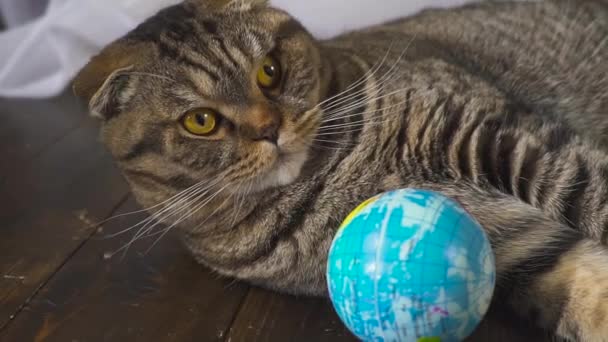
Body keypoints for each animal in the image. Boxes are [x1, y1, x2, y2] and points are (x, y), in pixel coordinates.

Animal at [73, 0, 608, 340]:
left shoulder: (498, 137)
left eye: (269, 71)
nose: (269, 129)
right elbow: (585, 291)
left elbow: (591, 190)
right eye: (200, 121)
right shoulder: (515, 247)